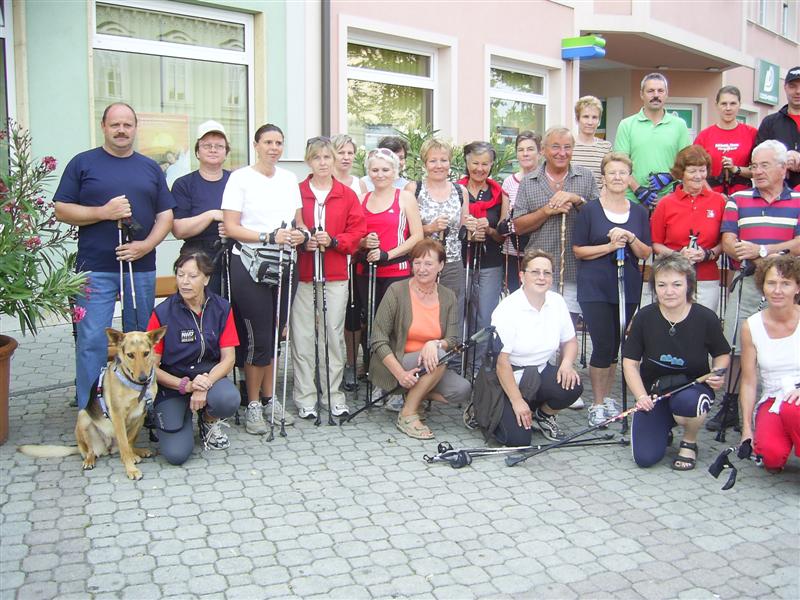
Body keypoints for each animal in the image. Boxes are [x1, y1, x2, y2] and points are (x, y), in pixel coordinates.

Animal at [18, 326, 166, 480]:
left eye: (146, 353)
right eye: (130, 355)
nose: (143, 378)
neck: (136, 386)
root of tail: (108, 447)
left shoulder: (141, 414)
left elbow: (129, 440)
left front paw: (132, 456)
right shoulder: (118, 415)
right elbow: (124, 446)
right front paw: (131, 469)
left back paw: (137, 452)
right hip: (83, 418)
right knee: (91, 451)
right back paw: (89, 461)